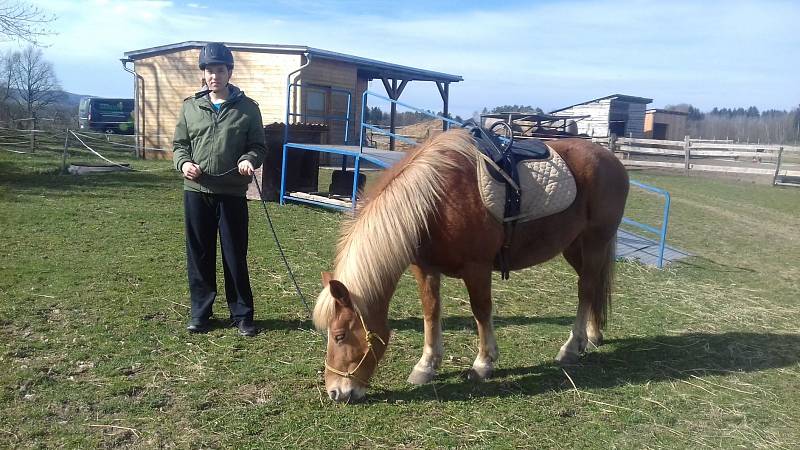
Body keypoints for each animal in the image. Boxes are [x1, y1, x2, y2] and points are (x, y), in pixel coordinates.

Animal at [314, 128, 632, 402]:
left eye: (340, 336)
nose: (335, 392)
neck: (435, 201)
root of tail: (611, 158)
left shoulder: (476, 268)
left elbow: (481, 311)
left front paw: (483, 363)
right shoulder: (425, 268)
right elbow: (431, 311)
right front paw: (427, 365)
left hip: (595, 241)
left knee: (586, 289)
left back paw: (572, 347)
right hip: (575, 247)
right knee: (593, 287)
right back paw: (592, 335)